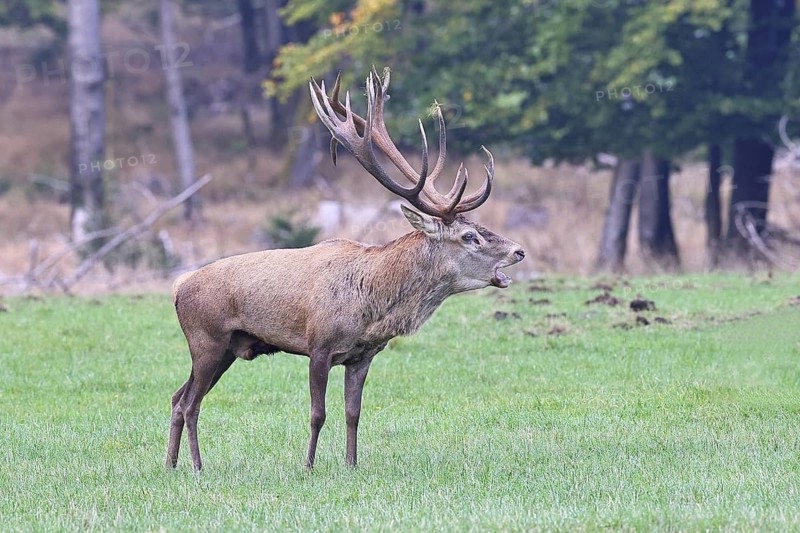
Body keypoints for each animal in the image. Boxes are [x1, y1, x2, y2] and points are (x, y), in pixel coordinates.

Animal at [166, 67, 525, 471]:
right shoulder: (318, 345)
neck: (371, 307)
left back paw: (171, 464)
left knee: (177, 397)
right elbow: (317, 413)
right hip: (206, 339)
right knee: (190, 402)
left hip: (226, 348)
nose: (519, 250)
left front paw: (351, 464)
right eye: (469, 236)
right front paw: (308, 465)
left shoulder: (362, 356)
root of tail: (178, 286)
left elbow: (353, 413)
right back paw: (197, 466)